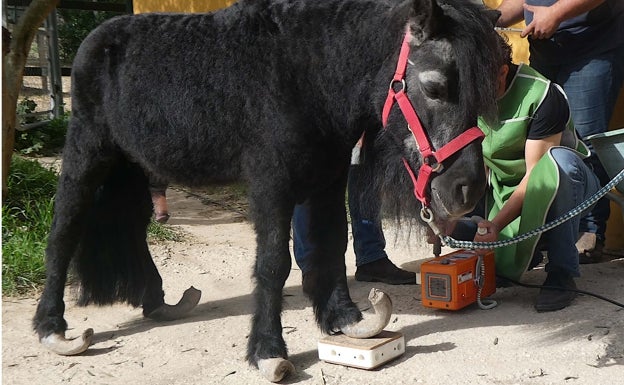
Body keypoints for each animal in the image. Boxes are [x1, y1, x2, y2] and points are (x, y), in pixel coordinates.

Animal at [33, 0, 502, 380]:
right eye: (435, 86)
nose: (467, 189)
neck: (307, 75)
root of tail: (95, 41)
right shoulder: (271, 185)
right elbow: (274, 264)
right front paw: (267, 351)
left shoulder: (328, 181)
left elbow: (333, 246)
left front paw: (348, 319)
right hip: (88, 154)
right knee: (64, 228)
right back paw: (52, 328)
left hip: (136, 165)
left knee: (132, 227)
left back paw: (157, 303)